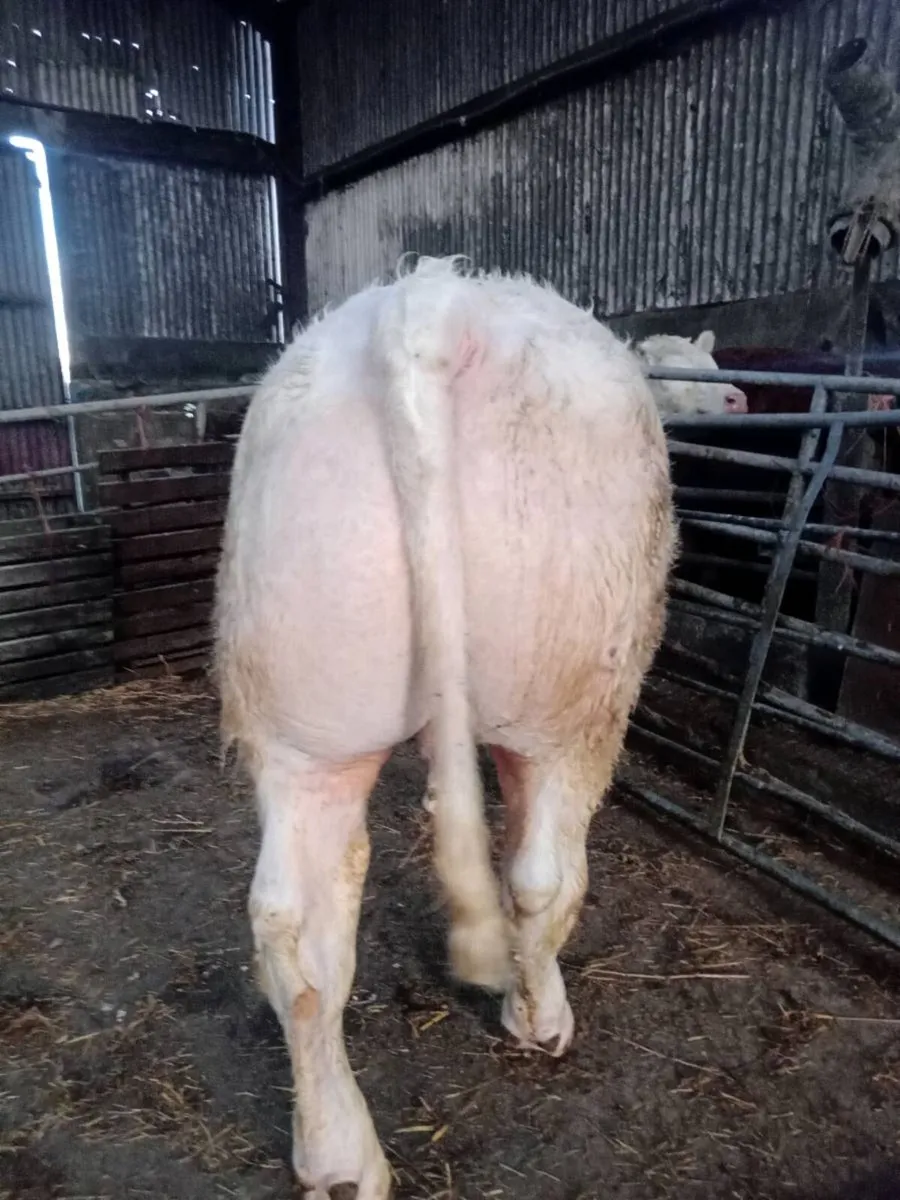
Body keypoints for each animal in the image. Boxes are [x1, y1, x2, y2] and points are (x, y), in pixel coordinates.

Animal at [214, 257, 743, 1198]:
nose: (739, 399)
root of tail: (431, 309)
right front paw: (533, 1018)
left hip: (305, 709)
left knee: (290, 931)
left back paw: (340, 1156)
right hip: (570, 690)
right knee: (541, 877)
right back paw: (538, 1012)